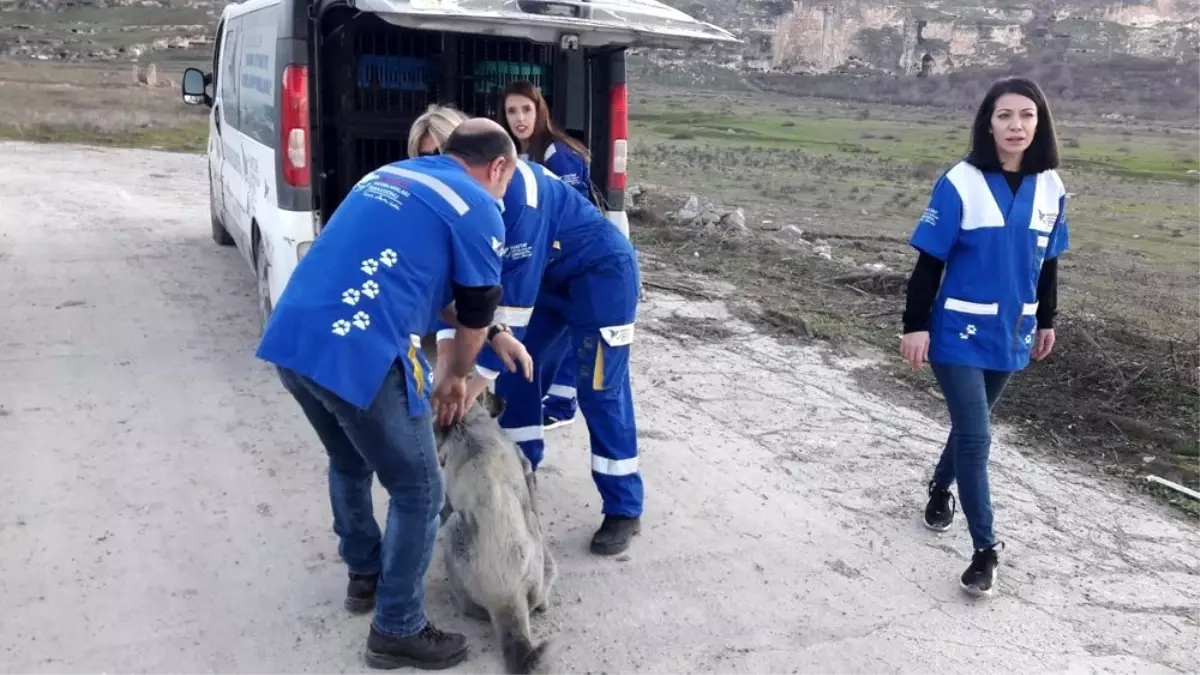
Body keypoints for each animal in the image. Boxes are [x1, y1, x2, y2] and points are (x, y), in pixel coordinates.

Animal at [434, 389, 559, 672]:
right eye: (489, 393)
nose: (504, 401)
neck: (465, 423)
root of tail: (507, 595)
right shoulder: (525, 469)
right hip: (524, 528)